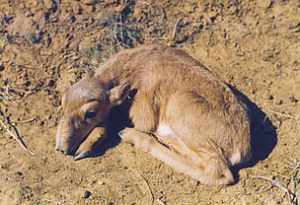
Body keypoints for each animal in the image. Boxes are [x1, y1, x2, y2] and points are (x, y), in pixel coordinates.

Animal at [55, 44, 251, 186]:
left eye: (91, 112)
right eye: (62, 102)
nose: (61, 148)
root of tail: (243, 149)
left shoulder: (142, 116)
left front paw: (86, 146)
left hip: (177, 105)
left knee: (217, 172)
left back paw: (134, 135)